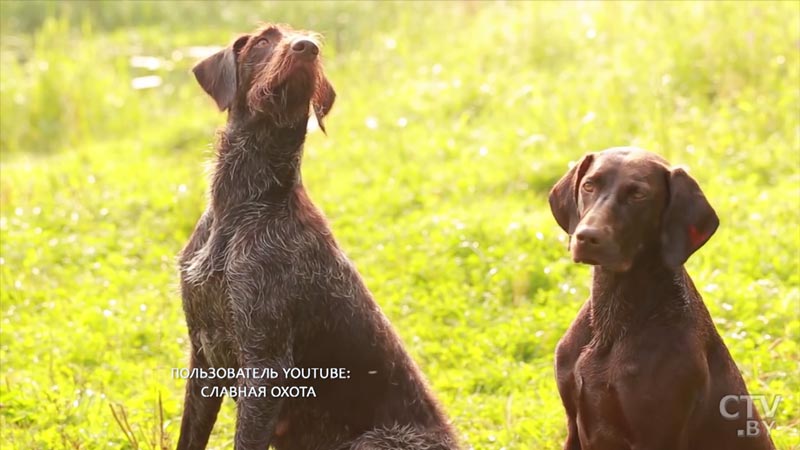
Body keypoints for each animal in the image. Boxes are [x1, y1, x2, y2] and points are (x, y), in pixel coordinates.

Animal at [178, 24, 460, 450]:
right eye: (263, 40)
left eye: (312, 40)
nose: (306, 48)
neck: (243, 205)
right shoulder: (204, 355)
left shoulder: (265, 365)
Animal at [552, 149, 776, 450]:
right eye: (588, 185)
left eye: (638, 194)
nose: (587, 236)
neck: (612, 319)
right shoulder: (574, 425)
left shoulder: (656, 434)